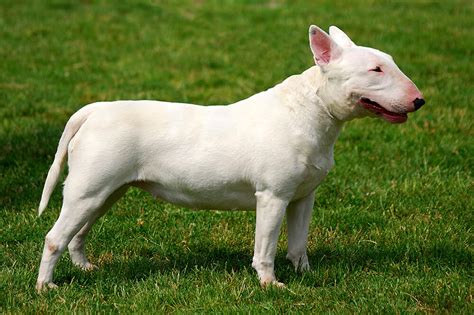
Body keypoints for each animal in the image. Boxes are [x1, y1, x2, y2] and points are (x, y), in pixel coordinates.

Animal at [35, 25, 424, 292]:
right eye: (375, 70)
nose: (419, 100)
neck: (310, 110)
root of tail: (94, 110)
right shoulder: (272, 196)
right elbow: (265, 246)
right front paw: (270, 285)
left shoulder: (303, 197)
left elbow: (298, 243)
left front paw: (307, 275)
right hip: (88, 189)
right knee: (55, 237)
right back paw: (46, 287)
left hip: (106, 191)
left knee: (78, 233)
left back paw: (85, 268)